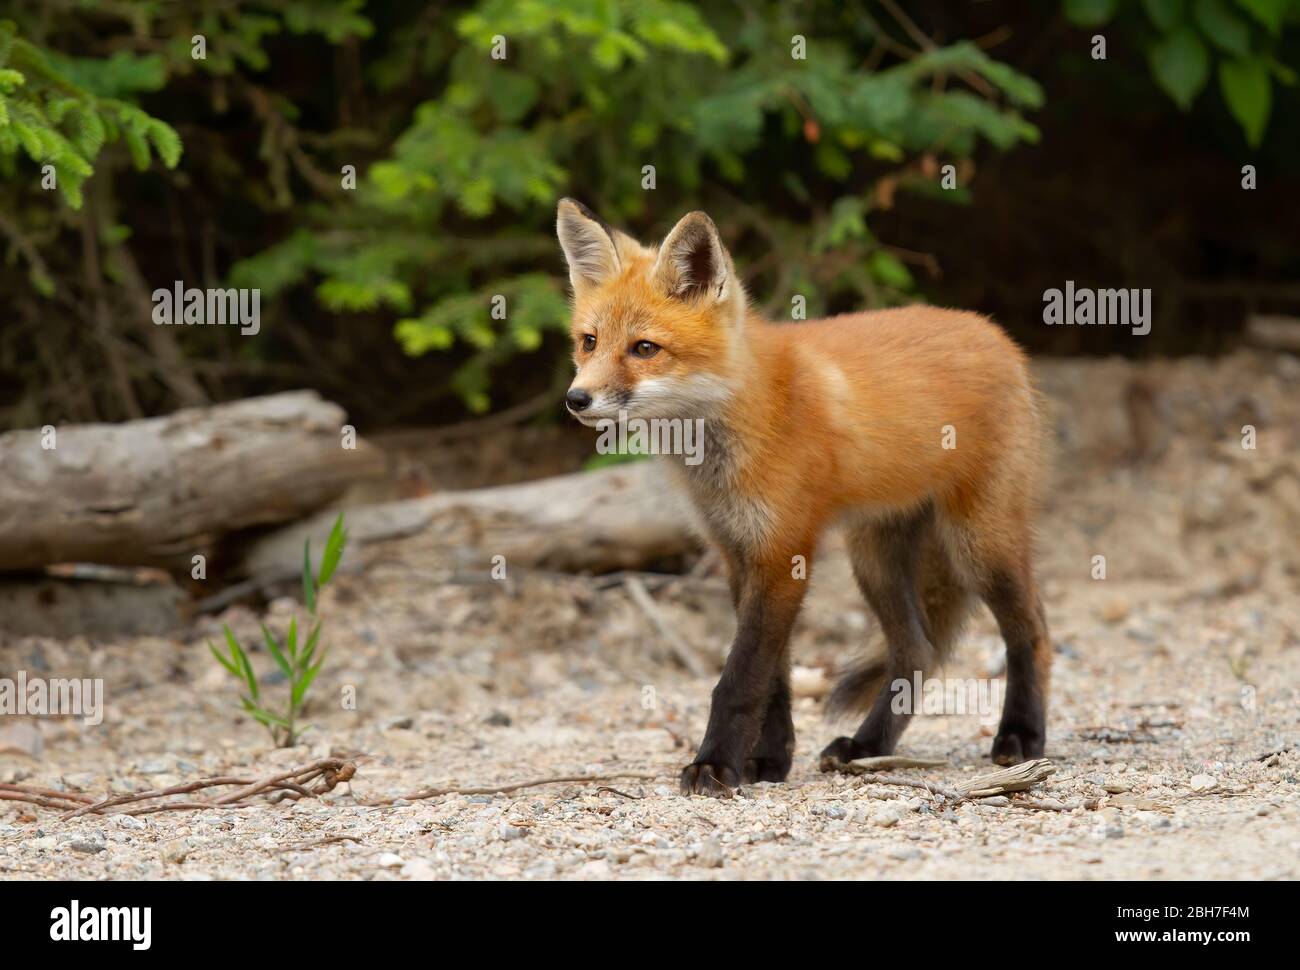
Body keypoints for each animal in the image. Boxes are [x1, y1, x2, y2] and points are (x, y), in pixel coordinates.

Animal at [555, 198, 1052, 798]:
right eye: (589, 341)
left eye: (644, 348)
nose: (576, 399)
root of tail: (996, 333)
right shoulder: (739, 554)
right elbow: (774, 678)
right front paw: (767, 760)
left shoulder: (783, 550)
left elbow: (740, 679)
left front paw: (714, 765)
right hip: (874, 560)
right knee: (918, 652)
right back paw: (867, 746)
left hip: (978, 543)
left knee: (1033, 630)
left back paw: (1021, 735)